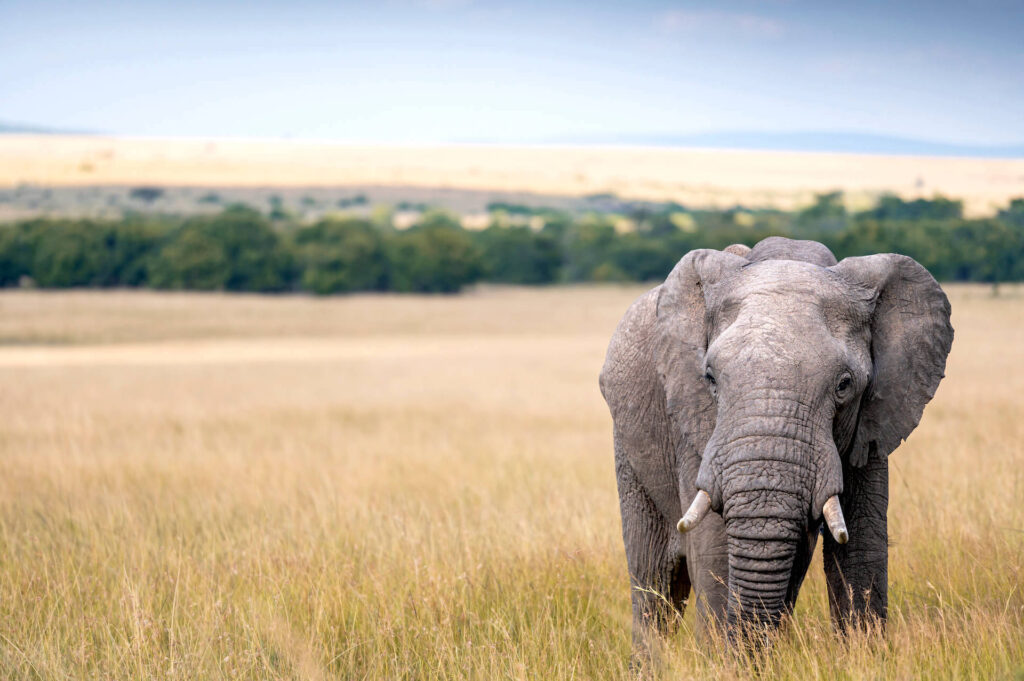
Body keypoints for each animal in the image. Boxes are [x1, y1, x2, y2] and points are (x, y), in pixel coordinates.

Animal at [599, 236, 953, 653]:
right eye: (710, 378)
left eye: (844, 385)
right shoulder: (693, 424)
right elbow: (715, 551)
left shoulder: (873, 419)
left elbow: (862, 549)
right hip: (630, 448)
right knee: (654, 581)